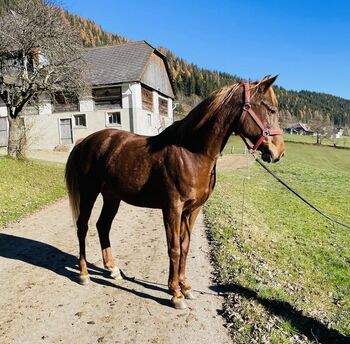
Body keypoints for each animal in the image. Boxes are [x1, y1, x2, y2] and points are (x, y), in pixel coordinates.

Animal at [65, 74, 284, 310]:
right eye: (271, 109)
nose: (279, 152)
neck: (192, 152)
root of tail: (85, 142)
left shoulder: (193, 210)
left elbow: (185, 247)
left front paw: (185, 287)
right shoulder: (172, 208)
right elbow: (174, 248)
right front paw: (175, 294)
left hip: (112, 197)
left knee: (103, 226)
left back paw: (113, 269)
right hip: (89, 192)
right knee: (83, 227)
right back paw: (84, 274)